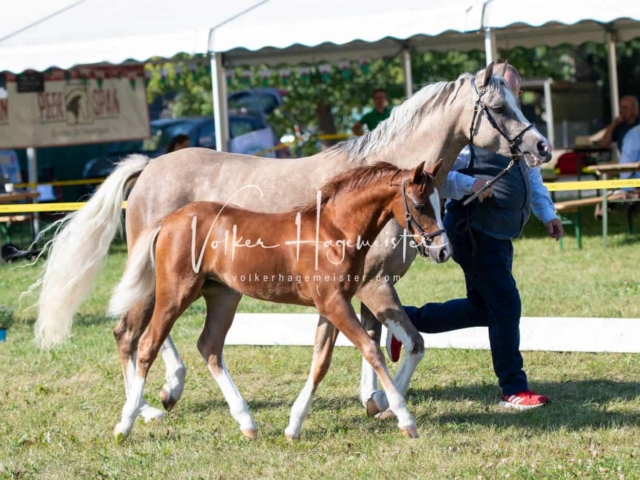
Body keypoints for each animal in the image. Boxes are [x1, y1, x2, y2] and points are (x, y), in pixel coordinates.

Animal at [107, 159, 448, 440]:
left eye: (441, 202)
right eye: (420, 205)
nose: (443, 250)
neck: (333, 231)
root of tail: (169, 220)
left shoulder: (330, 307)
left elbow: (320, 362)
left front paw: (293, 426)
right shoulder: (335, 304)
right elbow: (371, 350)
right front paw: (406, 420)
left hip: (222, 296)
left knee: (209, 346)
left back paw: (246, 423)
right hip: (174, 293)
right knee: (146, 344)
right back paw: (126, 424)